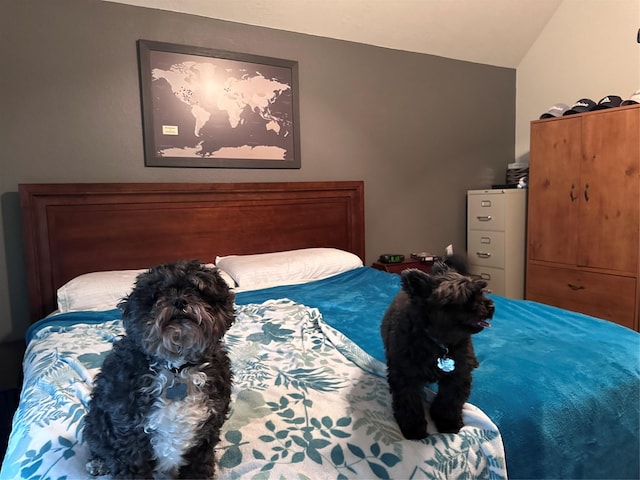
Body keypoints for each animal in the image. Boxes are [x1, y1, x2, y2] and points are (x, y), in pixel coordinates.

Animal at [84, 260, 235, 478]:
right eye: (157, 295)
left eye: (197, 290)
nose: (179, 301)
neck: (177, 368)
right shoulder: (129, 439)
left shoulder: (205, 438)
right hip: (96, 421)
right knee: (97, 443)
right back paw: (97, 462)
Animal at [380, 255, 496, 438]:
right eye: (466, 298)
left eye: (481, 291)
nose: (491, 306)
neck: (440, 342)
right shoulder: (405, 377)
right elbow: (409, 403)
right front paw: (413, 429)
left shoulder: (458, 375)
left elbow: (449, 402)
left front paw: (448, 423)